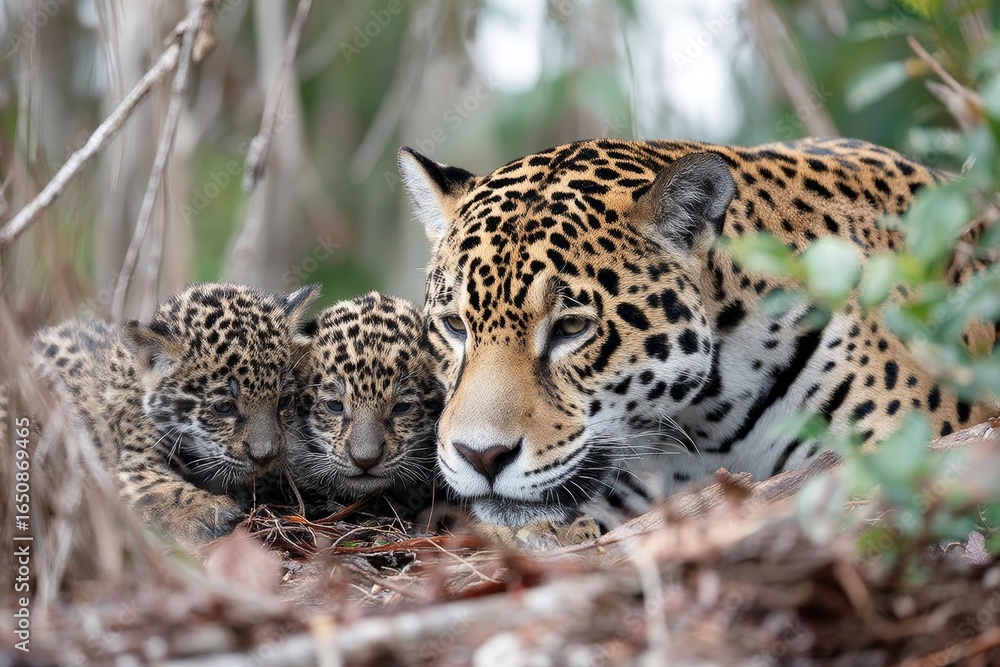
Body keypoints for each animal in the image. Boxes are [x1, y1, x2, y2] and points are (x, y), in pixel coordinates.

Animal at [27, 282, 318, 543]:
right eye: (224, 407)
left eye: (283, 401)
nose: (266, 457)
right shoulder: (106, 464)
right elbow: (153, 486)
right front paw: (209, 511)